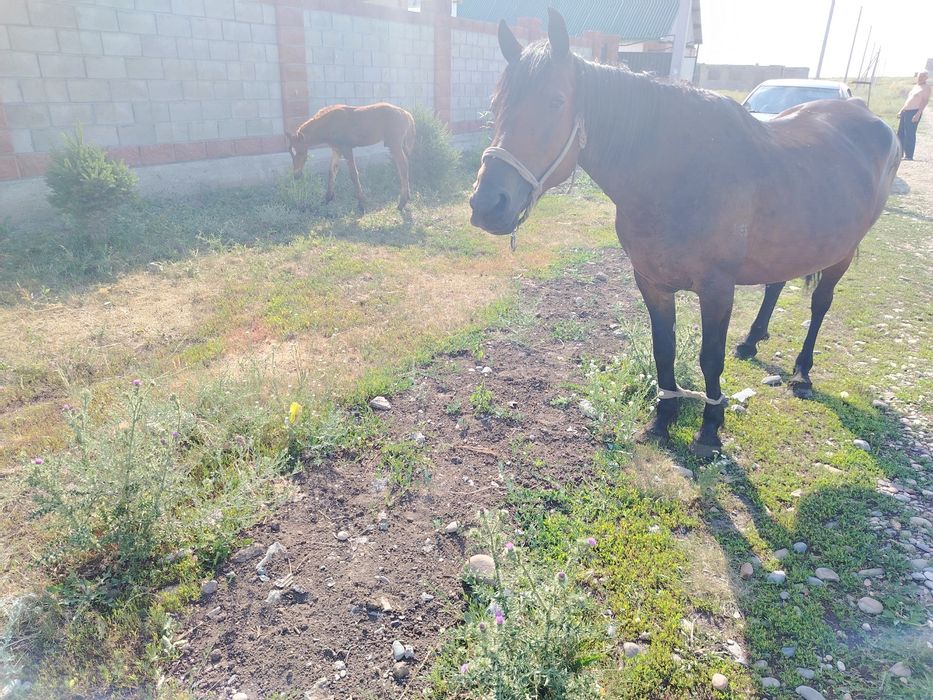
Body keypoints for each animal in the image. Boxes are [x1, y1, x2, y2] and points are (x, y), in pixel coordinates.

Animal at [287, 102, 416, 214]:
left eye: (301, 152)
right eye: (291, 153)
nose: (296, 175)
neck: (329, 123)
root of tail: (406, 113)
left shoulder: (346, 148)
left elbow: (353, 174)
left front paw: (361, 204)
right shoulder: (336, 149)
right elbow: (332, 172)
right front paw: (327, 199)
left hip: (394, 144)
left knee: (403, 166)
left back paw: (402, 203)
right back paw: (407, 196)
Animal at [469, 9, 901, 457]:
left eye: (556, 101)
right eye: (496, 104)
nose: (487, 204)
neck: (676, 174)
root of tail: (868, 116)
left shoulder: (717, 289)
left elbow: (710, 359)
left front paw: (710, 429)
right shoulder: (652, 282)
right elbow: (665, 350)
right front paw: (663, 419)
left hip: (843, 253)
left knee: (820, 305)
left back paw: (802, 373)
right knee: (776, 284)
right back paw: (752, 340)